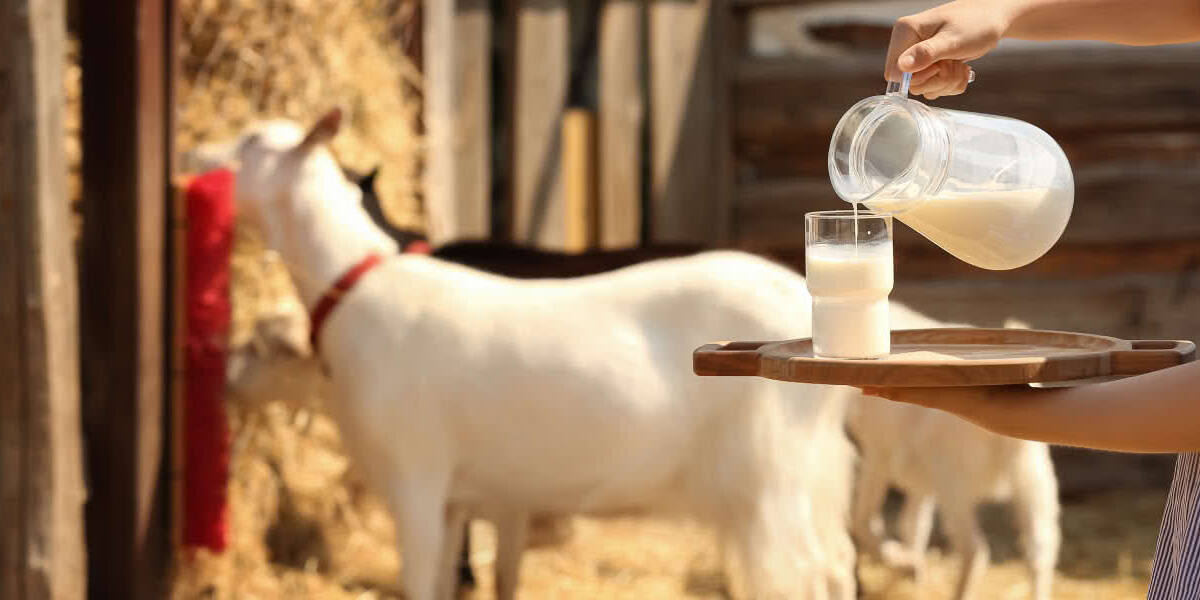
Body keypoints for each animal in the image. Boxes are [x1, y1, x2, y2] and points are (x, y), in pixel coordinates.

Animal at [232, 108, 857, 600]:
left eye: (251, 142)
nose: (227, 379)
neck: (355, 289)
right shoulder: (469, 498)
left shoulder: (418, 477)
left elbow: (426, 580)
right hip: (815, 474)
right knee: (837, 566)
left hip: (769, 480)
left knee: (802, 575)